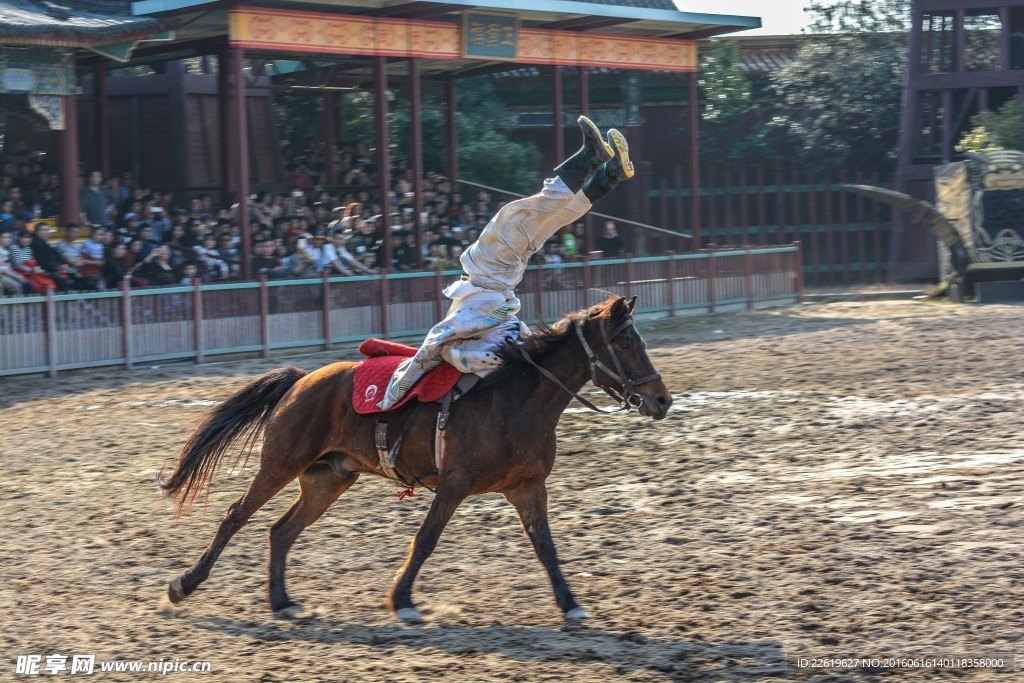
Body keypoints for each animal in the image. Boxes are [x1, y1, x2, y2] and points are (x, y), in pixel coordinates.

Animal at [159, 296, 671, 622]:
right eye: (625, 343)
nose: (661, 400)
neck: (513, 400)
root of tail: (303, 378)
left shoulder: (528, 487)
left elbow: (545, 546)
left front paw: (570, 604)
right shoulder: (454, 484)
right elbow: (425, 540)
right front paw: (401, 600)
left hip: (327, 479)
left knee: (281, 531)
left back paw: (282, 602)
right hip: (280, 464)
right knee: (236, 516)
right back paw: (185, 583)